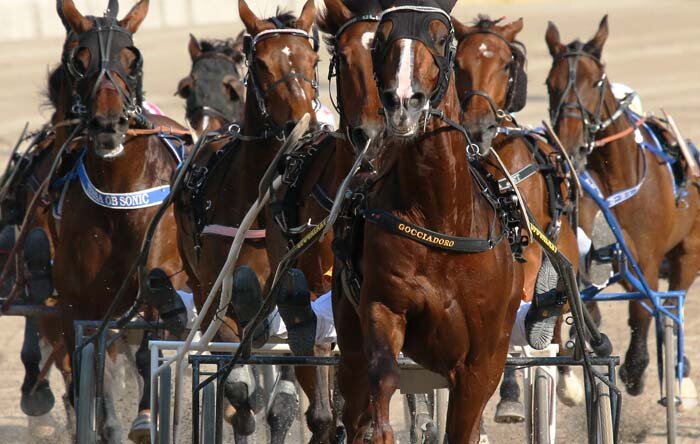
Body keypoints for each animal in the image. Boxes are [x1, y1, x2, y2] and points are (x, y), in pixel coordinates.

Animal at [49, 0, 191, 440]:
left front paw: (145, 419)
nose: (108, 125)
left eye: (132, 59)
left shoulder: (161, 271)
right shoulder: (78, 301)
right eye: (79, 61)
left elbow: (151, 346)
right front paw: (108, 426)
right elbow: (95, 361)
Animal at [334, 1, 524, 442]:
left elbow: (465, 422)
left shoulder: (481, 361)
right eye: (383, 37)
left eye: (441, 37)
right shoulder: (382, 305)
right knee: (354, 400)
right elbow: (383, 380)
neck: (441, 214)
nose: (404, 101)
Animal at [548, 15, 700, 406]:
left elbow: (641, 310)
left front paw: (635, 368)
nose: (570, 143)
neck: (619, 180)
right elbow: (575, 295)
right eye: (550, 84)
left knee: (673, 305)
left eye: (596, 81)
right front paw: (570, 375)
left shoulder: (646, 257)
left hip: (687, 254)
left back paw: (680, 376)